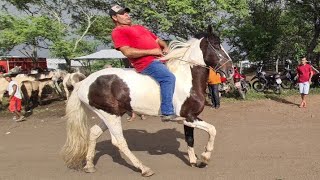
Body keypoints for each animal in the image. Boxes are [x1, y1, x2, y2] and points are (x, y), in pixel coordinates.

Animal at [61, 26, 234, 176]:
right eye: (216, 45)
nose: (231, 70)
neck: (187, 79)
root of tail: (83, 83)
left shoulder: (188, 118)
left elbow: (190, 139)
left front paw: (193, 161)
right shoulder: (189, 117)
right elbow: (212, 130)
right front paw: (204, 157)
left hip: (110, 114)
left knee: (94, 133)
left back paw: (89, 165)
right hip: (110, 116)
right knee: (119, 142)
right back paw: (144, 168)